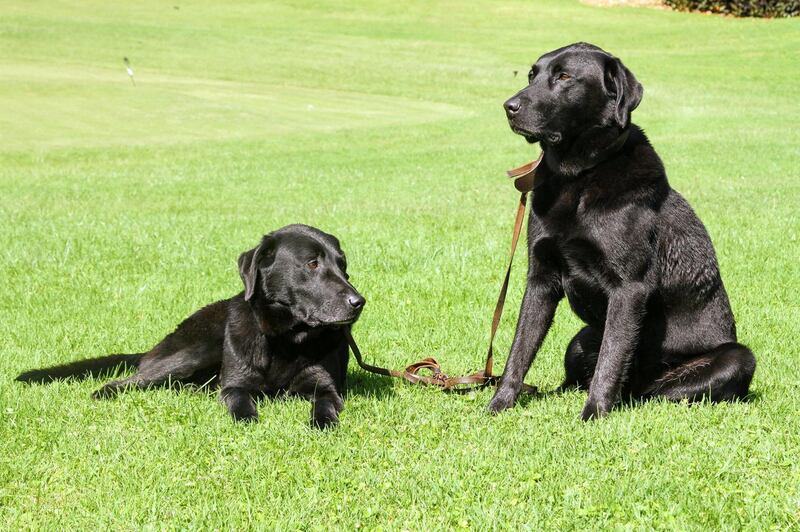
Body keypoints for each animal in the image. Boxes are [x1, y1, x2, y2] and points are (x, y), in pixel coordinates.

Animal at [16, 224, 366, 428]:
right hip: (196, 350)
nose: (358, 301)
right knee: (128, 380)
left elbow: (324, 404)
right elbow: (239, 403)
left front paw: (322, 422)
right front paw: (248, 420)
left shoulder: (324, 386)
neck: (285, 339)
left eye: (343, 266)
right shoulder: (235, 385)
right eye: (312, 263)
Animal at [488, 42, 756, 420]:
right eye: (531, 75)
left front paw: (592, 416)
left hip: (737, 358)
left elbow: (611, 360)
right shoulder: (540, 280)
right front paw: (498, 404)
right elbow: (519, 350)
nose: (509, 107)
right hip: (581, 338)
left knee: (658, 390)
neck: (578, 177)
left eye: (565, 76)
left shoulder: (629, 289)